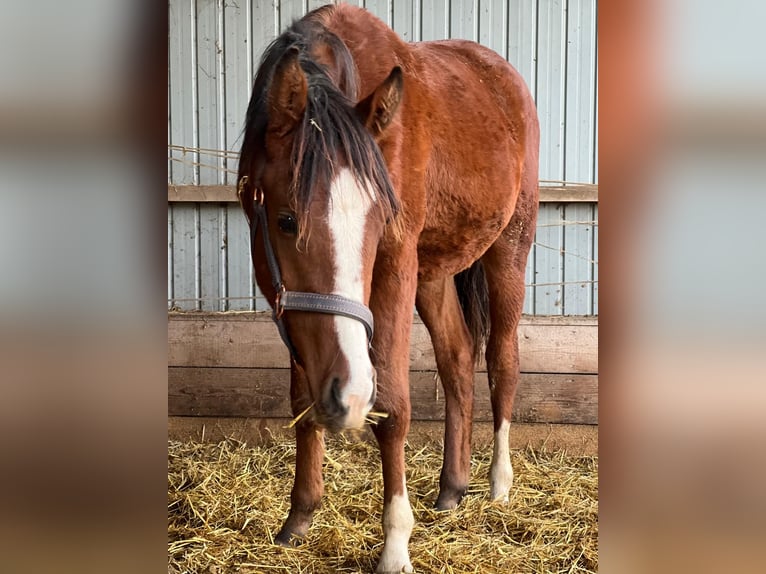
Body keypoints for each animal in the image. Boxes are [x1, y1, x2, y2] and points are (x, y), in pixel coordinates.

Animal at [237, 4, 538, 573]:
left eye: (379, 223)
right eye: (286, 220)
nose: (349, 394)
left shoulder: (397, 259)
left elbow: (395, 405)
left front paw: (396, 543)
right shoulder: (283, 295)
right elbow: (301, 399)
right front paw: (299, 516)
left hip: (508, 246)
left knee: (502, 361)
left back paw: (498, 485)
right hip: (434, 273)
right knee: (457, 358)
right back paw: (452, 487)